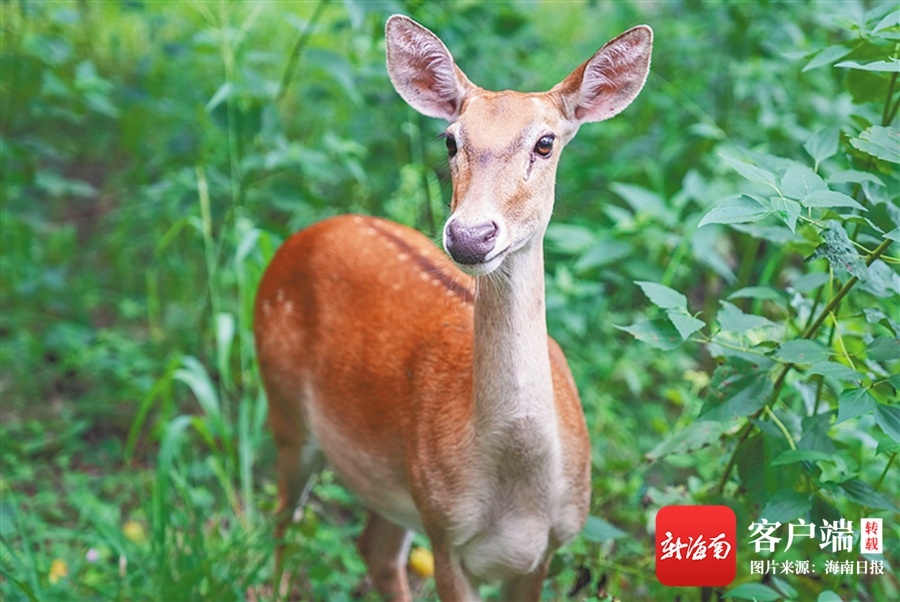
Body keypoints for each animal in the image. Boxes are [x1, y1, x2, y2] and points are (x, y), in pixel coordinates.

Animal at [253, 15, 652, 600]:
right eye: (449, 139)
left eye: (546, 142)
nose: (469, 235)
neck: (519, 489)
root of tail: (309, 232)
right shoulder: (444, 531)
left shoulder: (546, 548)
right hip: (285, 408)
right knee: (283, 522)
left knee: (373, 549)